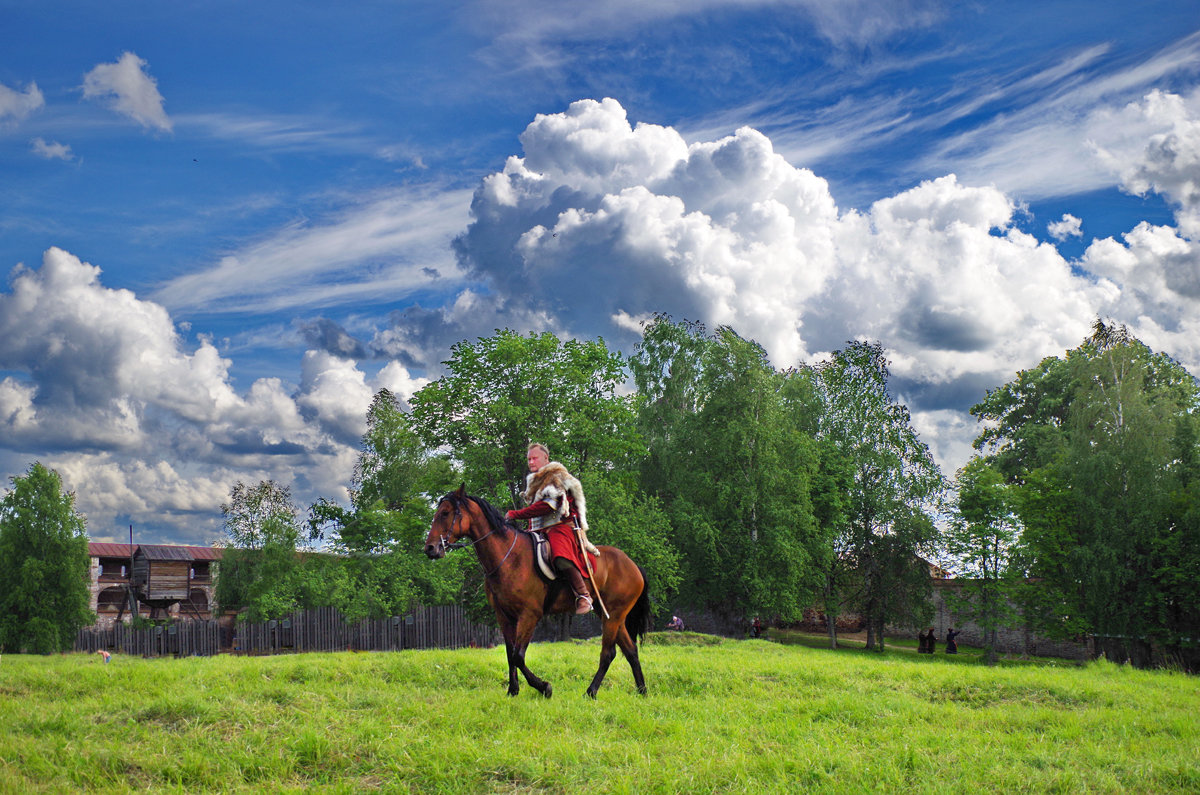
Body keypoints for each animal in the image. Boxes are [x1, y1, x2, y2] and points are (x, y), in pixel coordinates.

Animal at [422, 485, 648, 696]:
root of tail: (633, 565)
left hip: (613, 616)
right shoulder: (504, 616)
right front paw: (513, 690)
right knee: (631, 650)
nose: (430, 549)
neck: (509, 557)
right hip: (609, 614)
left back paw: (591, 692)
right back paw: (642, 691)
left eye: (445, 513)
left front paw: (543, 687)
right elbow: (510, 653)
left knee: (608, 653)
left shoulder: (529, 615)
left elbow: (518, 656)